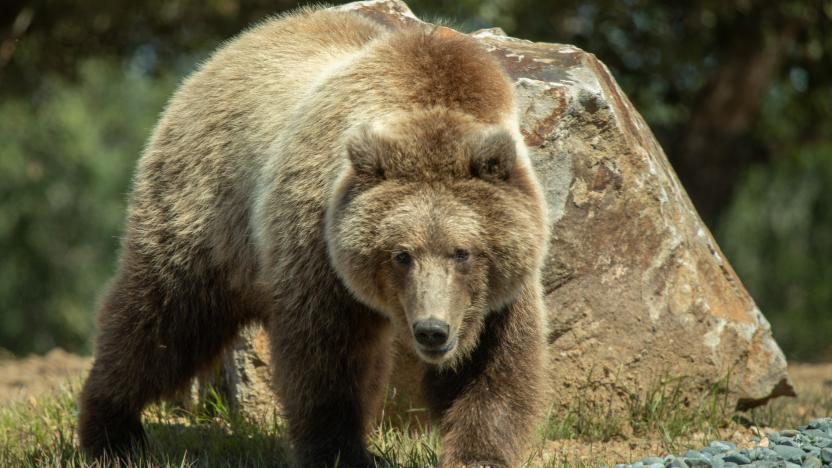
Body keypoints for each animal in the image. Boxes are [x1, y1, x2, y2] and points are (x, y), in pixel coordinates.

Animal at [76, 4, 544, 468]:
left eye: (463, 252)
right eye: (401, 254)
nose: (432, 330)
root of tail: (223, 54)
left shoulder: (498, 290)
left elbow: (492, 365)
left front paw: (479, 453)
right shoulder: (319, 244)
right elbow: (325, 361)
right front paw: (338, 452)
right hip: (207, 213)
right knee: (162, 322)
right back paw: (111, 432)